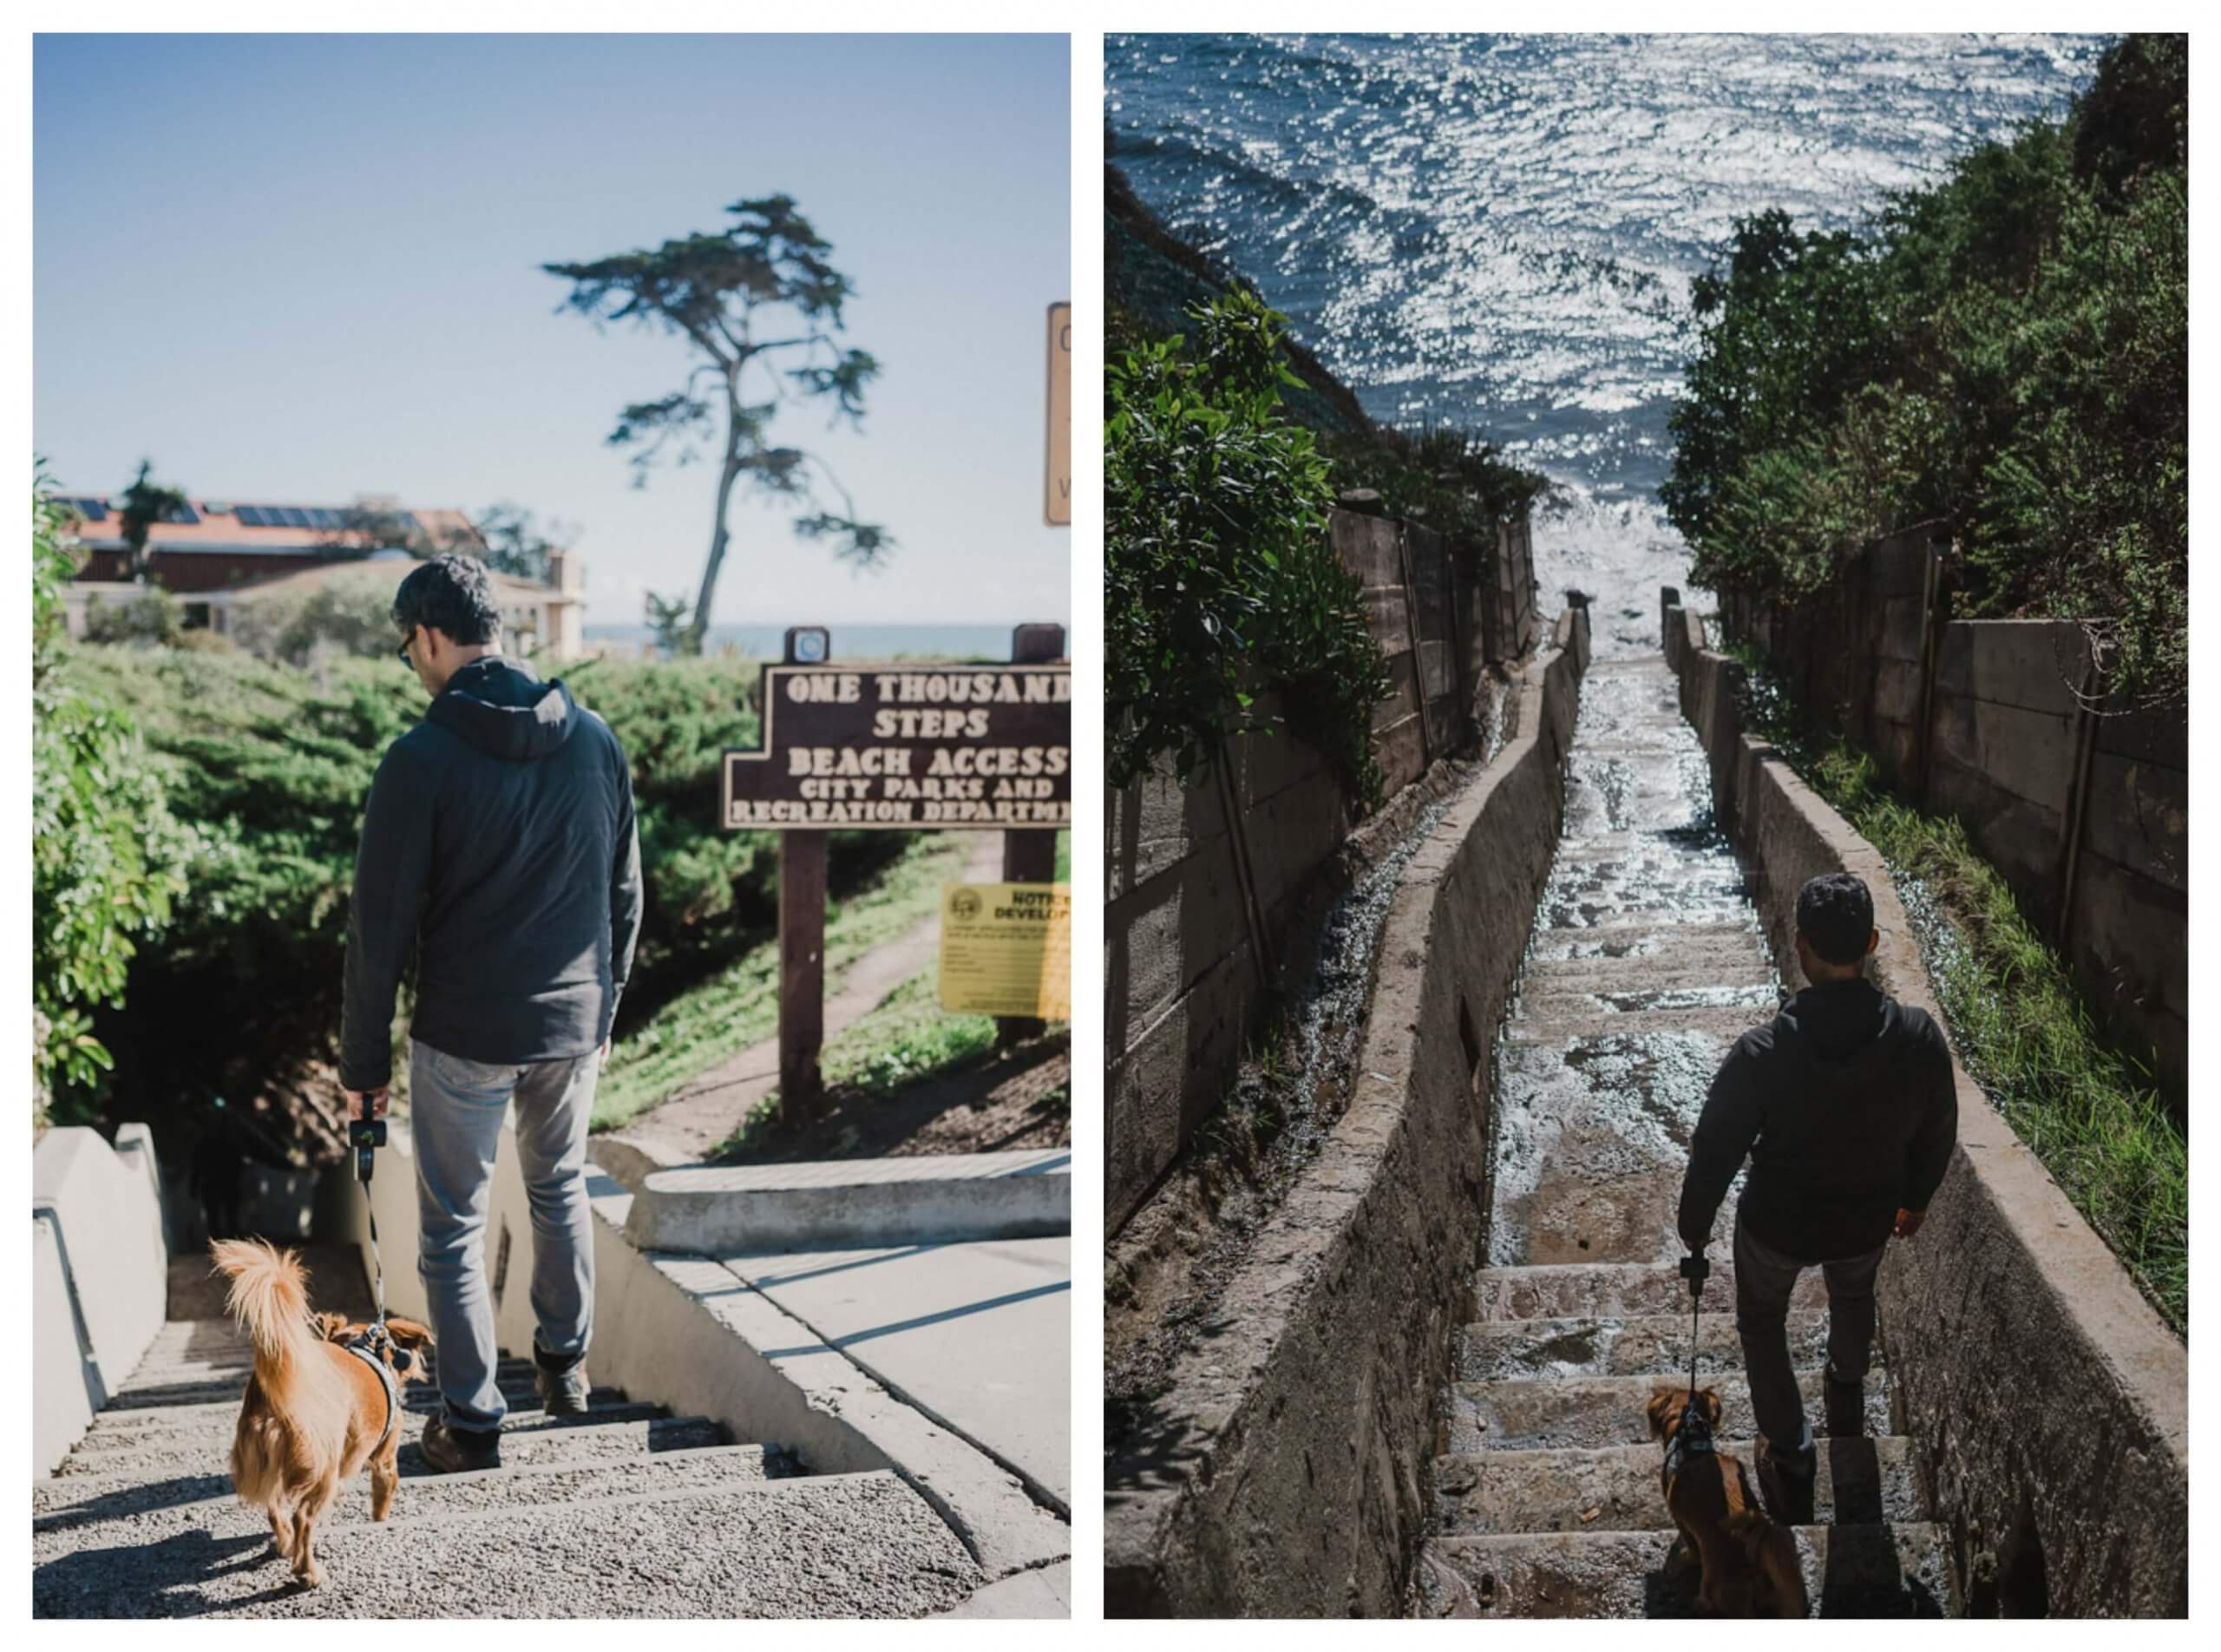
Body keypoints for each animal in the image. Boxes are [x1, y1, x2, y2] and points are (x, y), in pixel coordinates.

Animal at [209, 1243, 430, 1590]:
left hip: (268, 1458)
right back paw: (308, 1571)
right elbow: (383, 1498)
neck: (365, 1347)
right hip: (322, 1463)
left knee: (275, 1507)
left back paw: (286, 1544)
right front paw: (379, 1520)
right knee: (303, 1516)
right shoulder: (385, 1459)